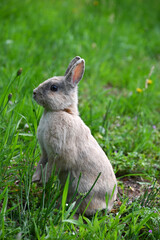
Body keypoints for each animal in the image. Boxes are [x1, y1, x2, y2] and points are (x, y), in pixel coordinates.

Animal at [32, 56, 117, 216]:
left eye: (54, 88)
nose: (34, 92)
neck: (62, 110)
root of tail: (108, 204)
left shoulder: (58, 154)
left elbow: (50, 166)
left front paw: (43, 180)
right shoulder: (45, 152)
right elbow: (41, 163)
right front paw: (35, 179)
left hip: (82, 189)